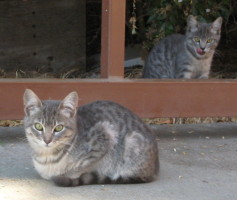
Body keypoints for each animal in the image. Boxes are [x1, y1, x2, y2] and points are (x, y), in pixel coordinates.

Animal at [23, 90, 159, 187]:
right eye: (38, 126)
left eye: (58, 128)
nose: (47, 140)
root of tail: (155, 168)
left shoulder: (104, 136)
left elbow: (78, 168)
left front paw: (67, 174)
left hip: (132, 144)